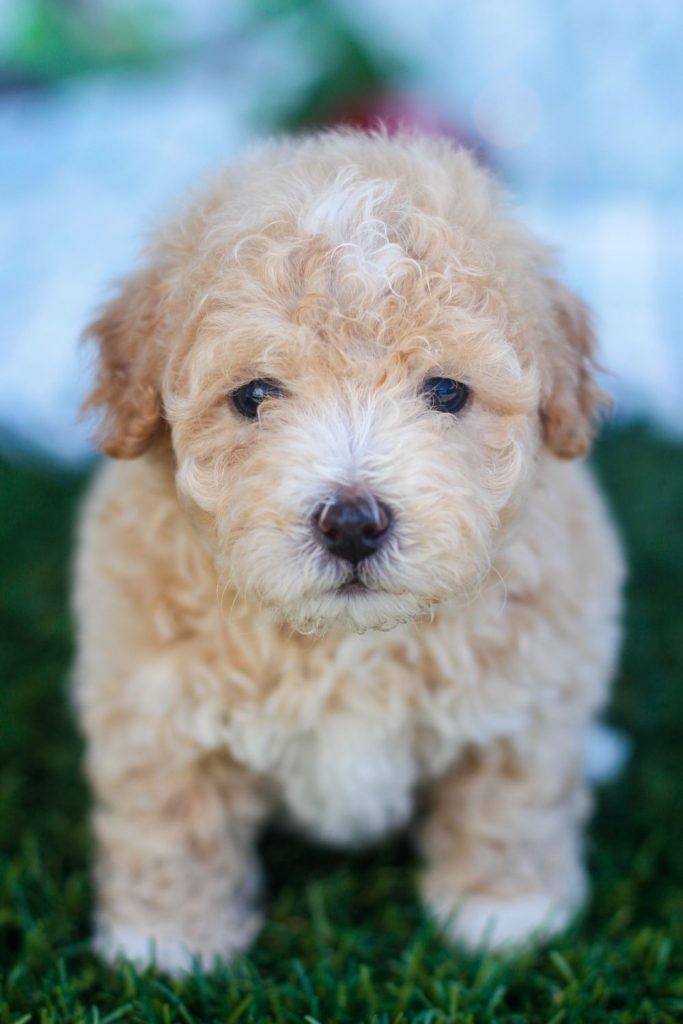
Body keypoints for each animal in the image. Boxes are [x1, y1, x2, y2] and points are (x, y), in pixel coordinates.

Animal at [74, 132, 626, 970]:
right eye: (254, 395)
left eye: (446, 392)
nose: (353, 524)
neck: (345, 641)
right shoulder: (155, 702)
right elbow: (172, 819)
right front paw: (167, 945)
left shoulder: (526, 695)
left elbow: (508, 799)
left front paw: (505, 915)